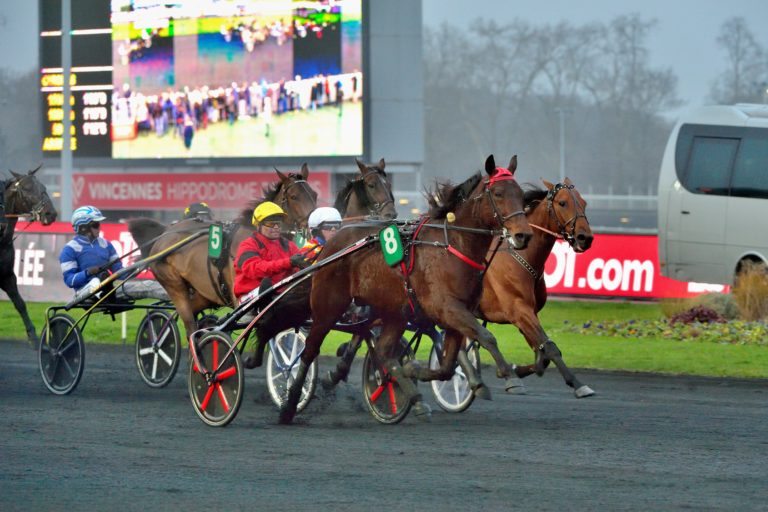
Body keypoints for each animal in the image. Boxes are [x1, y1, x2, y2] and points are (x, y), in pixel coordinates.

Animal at [0, 166, 57, 346]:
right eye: (26, 189)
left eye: (44, 187)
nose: (51, 213)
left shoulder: (7, 275)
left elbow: (20, 303)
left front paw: (32, 334)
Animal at [127, 166, 316, 346]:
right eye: (294, 196)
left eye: (314, 194)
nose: (314, 226)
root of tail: (165, 234)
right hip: (174, 285)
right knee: (190, 326)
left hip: (203, 293)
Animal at [278, 155, 536, 424]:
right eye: (498, 193)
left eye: (520, 194)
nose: (523, 235)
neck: (451, 246)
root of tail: (333, 243)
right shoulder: (446, 308)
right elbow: (486, 336)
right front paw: (511, 377)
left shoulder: (456, 313)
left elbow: (446, 366)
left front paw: (416, 369)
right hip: (328, 307)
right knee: (309, 350)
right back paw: (290, 404)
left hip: (393, 312)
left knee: (383, 351)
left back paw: (412, 397)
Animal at [476, 178, 596, 398]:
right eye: (562, 203)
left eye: (584, 203)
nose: (585, 238)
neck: (521, 256)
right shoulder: (519, 310)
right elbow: (550, 348)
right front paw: (577, 383)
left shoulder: (528, 313)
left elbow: (542, 354)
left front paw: (513, 370)